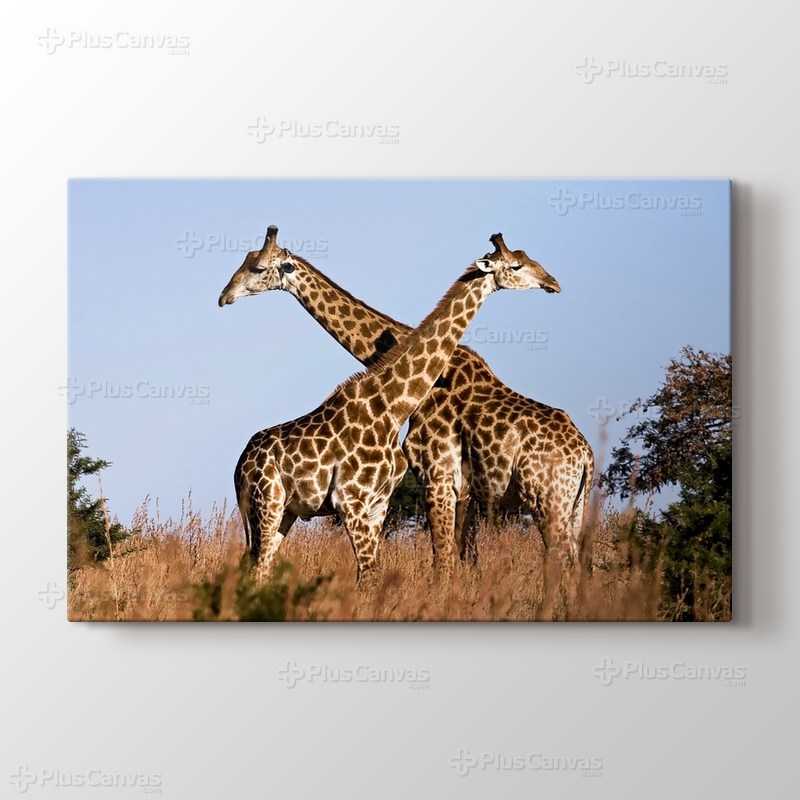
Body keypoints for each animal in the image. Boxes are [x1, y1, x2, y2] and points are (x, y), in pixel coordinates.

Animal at [219, 227, 594, 573]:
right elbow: (454, 561)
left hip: (552, 500)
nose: (225, 295)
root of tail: (587, 455)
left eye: (257, 267)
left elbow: (446, 562)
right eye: (518, 264)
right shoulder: (448, 488)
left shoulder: (436, 480)